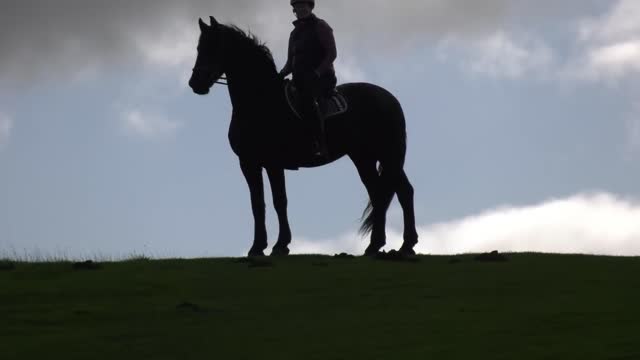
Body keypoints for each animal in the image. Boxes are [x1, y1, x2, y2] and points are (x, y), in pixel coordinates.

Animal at [189, 16, 420, 258]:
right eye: (198, 48)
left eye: (213, 46)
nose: (195, 83)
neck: (260, 101)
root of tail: (389, 98)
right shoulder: (249, 163)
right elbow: (257, 204)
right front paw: (257, 247)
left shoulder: (273, 163)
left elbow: (279, 201)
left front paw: (280, 245)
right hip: (364, 158)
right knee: (380, 194)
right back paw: (376, 246)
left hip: (388, 154)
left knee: (403, 192)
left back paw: (406, 245)